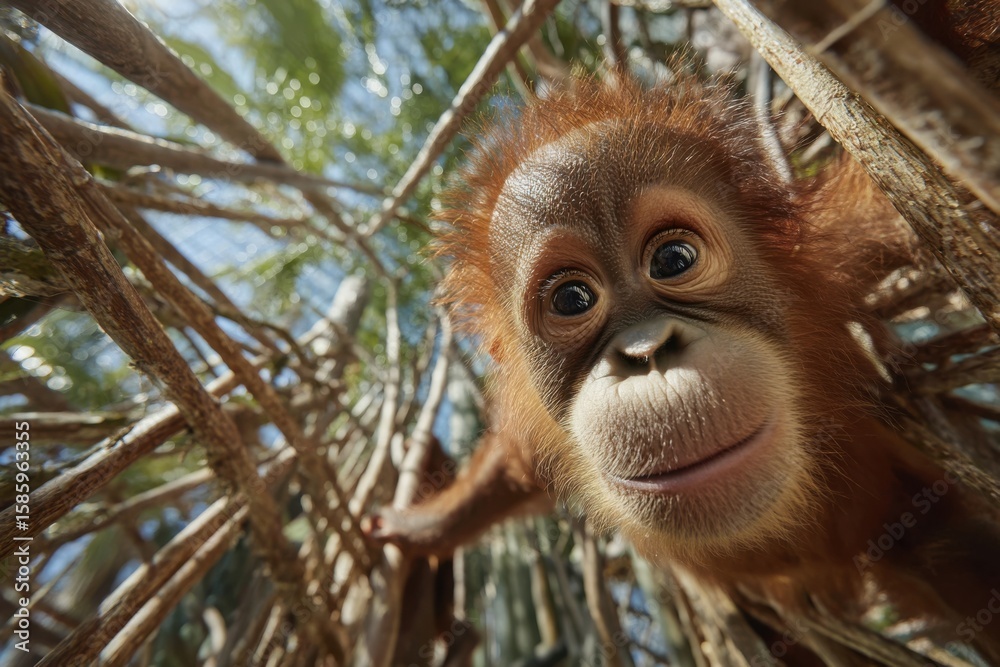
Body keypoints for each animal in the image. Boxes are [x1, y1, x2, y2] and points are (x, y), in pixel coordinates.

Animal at [366, 73, 1000, 664]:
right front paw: (418, 530)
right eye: (571, 298)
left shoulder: (842, 249)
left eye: (673, 259)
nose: (646, 352)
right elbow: (516, 467)